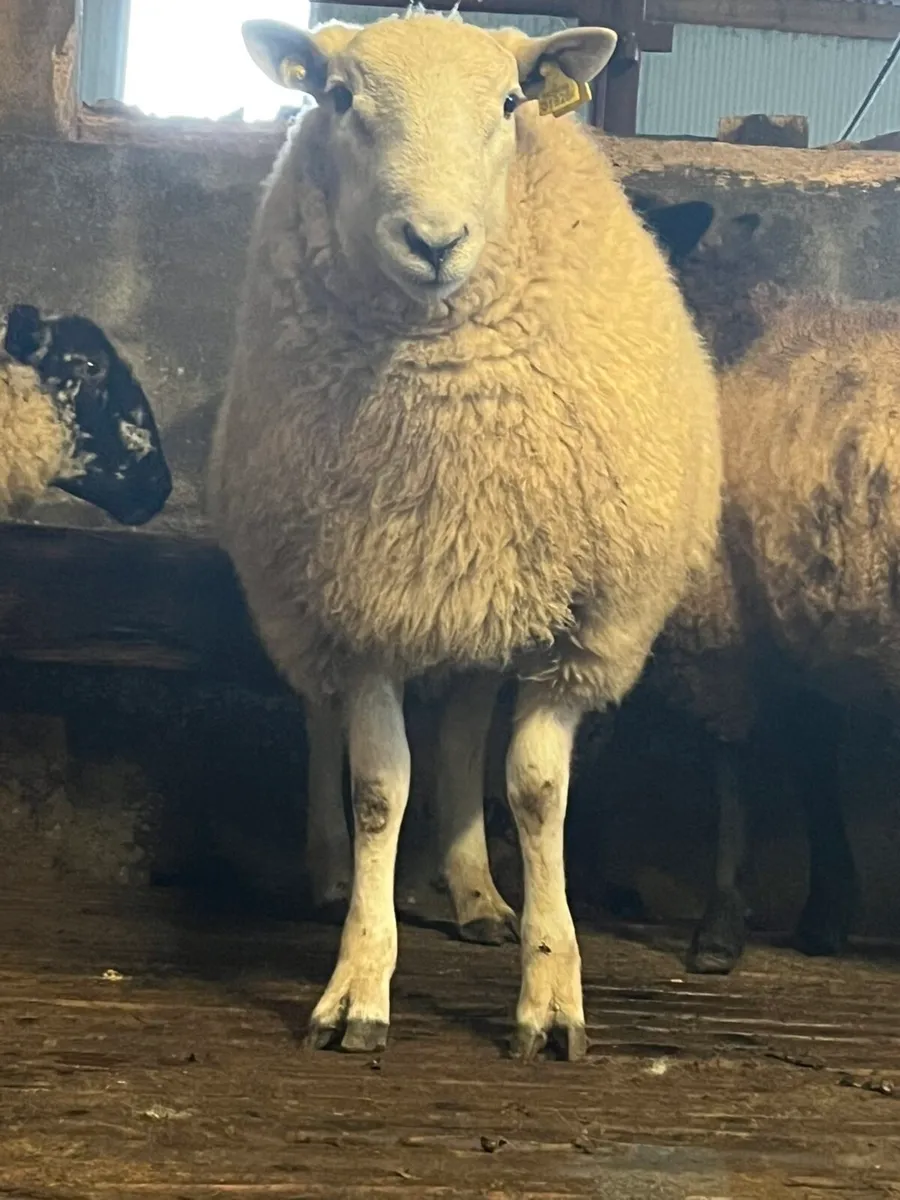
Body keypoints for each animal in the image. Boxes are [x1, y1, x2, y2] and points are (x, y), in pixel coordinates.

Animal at [208, 11, 722, 1059]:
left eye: (512, 102)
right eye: (336, 98)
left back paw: (475, 892)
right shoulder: (361, 597)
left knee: (461, 729)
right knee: (325, 721)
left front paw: (551, 988)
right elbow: (378, 788)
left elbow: (532, 790)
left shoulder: (578, 624)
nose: (434, 241)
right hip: (309, 592)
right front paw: (359, 983)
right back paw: (333, 869)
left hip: (483, 593)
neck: (447, 405)